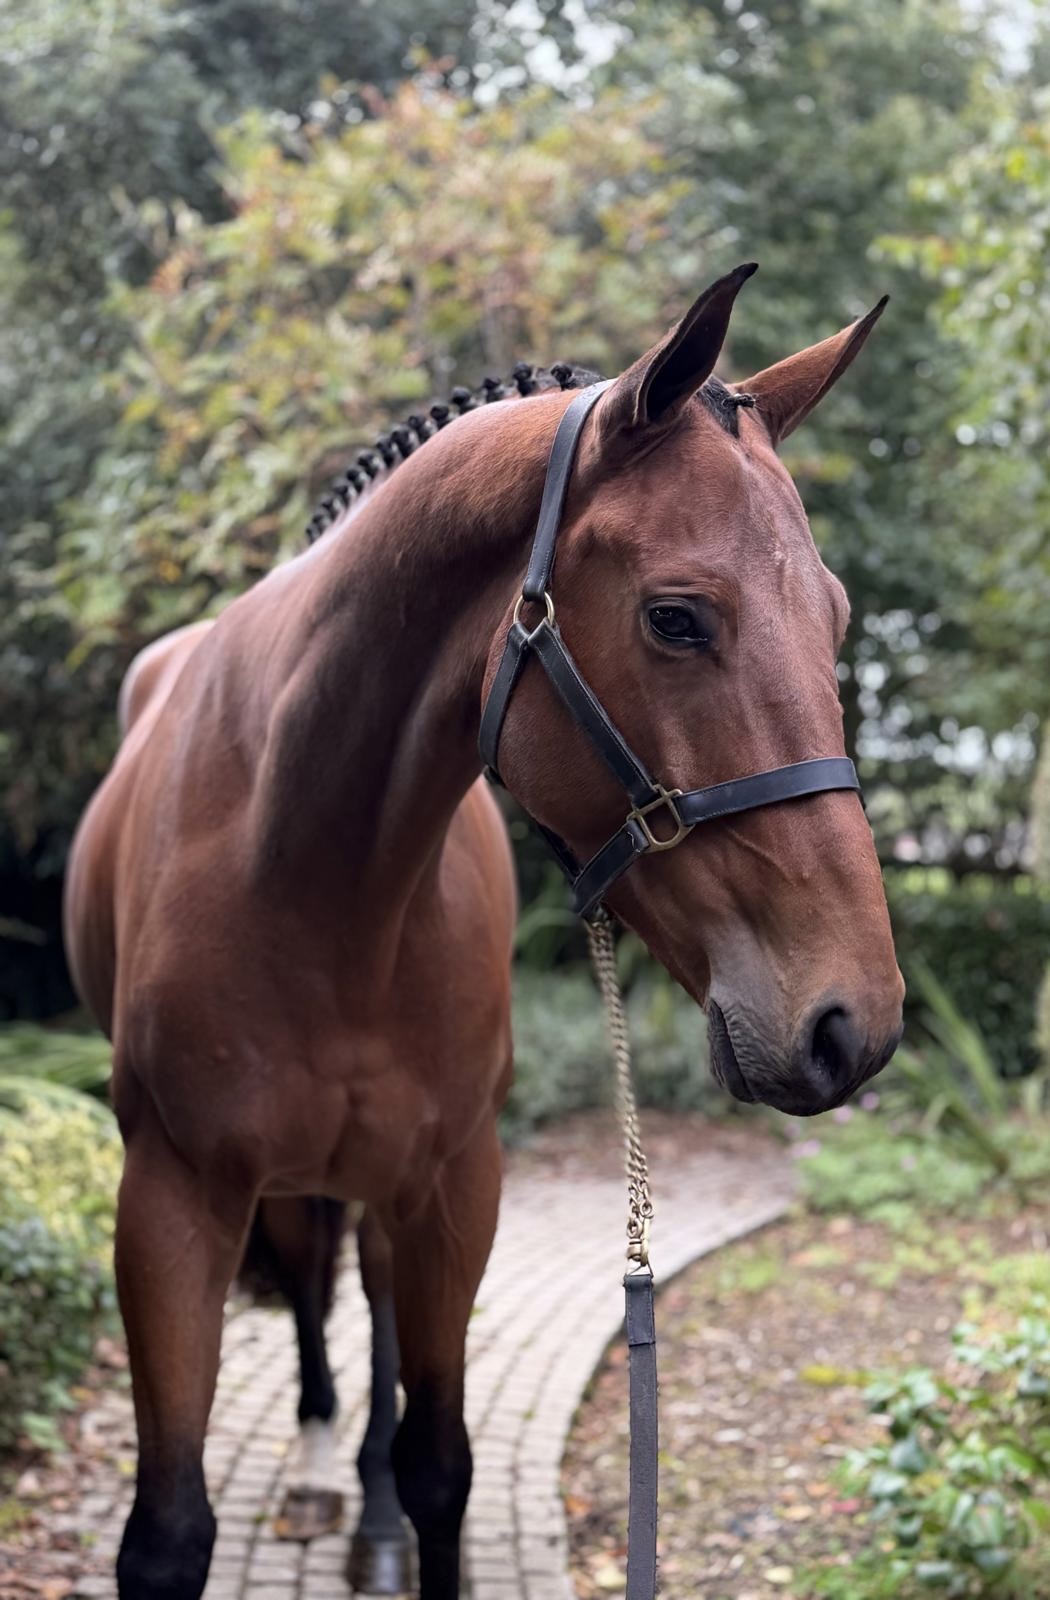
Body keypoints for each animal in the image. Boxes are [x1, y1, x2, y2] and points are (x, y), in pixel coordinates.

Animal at [63, 263, 905, 1600]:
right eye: (677, 618)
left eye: (833, 618)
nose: (850, 1024)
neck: (318, 876)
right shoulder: (171, 1196)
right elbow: (169, 1534)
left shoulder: (457, 1185)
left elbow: (438, 1465)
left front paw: (395, 1507)